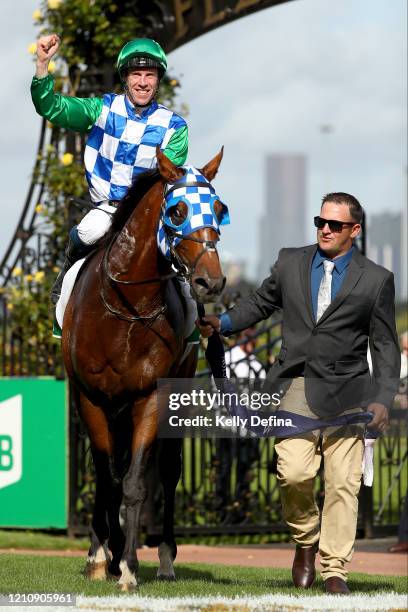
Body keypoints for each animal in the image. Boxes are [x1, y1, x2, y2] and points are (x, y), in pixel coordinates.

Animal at [61, 147, 226, 588]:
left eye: (219, 209)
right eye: (177, 211)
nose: (211, 282)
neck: (124, 311)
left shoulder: (150, 396)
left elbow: (135, 483)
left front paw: (129, 567)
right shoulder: (90, 398)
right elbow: (107, 478)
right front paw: (101, 555)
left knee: (167, 472)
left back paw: (165, 558)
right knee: (110, 471)